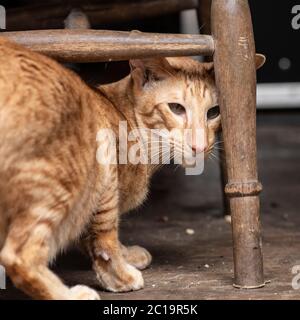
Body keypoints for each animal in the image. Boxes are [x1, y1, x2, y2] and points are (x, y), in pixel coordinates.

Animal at [0, 37, 264, 300]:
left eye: (214, 112)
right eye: (176, 108)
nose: (199, 146)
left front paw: (126, 255)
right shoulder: (106, 173)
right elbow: (105, 239)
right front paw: (120, 276)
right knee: (18, 256)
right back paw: (69, 294)